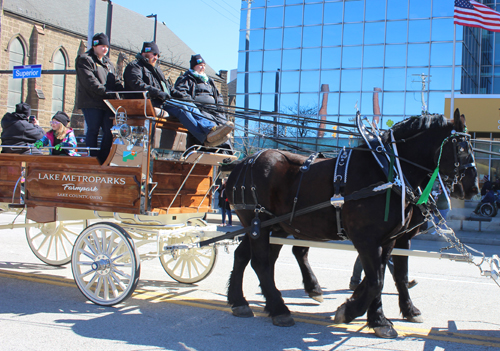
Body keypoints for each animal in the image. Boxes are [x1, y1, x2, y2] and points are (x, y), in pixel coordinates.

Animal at [226, 110, 476, 338]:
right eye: (462, 148)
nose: (473, 187)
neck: (387, 171)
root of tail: (244, 162)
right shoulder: (367, 239)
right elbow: (376, 280)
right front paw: (350, 311)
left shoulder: (389, 240)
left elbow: (385, 277)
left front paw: (379, 319)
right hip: (259, 224)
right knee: (261, 263)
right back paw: (279, 309)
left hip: (268, 227)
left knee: (245, 256)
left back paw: (240, 301)